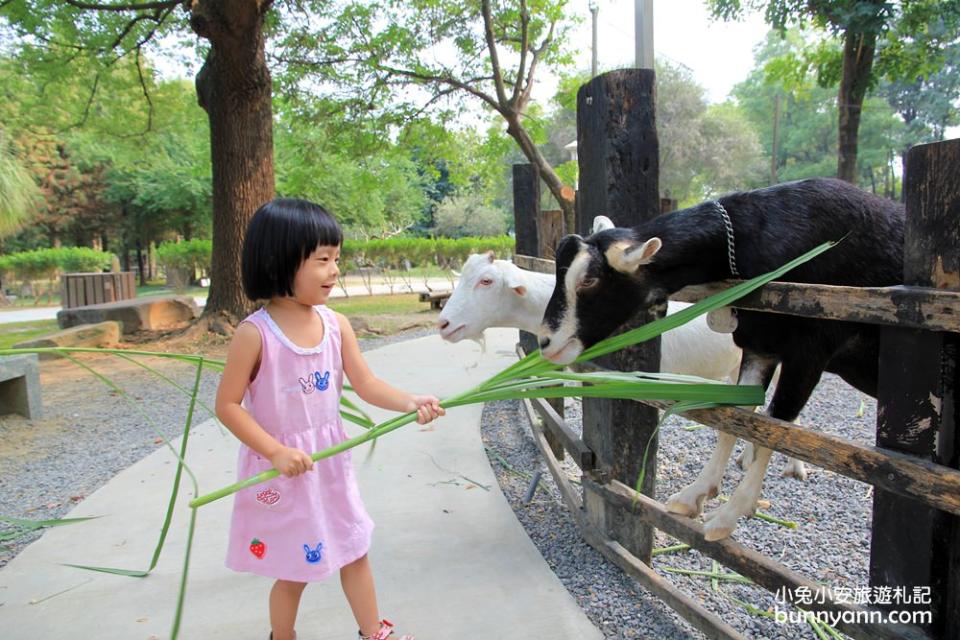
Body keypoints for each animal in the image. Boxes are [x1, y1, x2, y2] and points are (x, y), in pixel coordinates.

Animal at [544, 179, 904, 540]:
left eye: (589, 280)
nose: (547, 342)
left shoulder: (811, 350)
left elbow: (775, 427)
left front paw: (728, 515)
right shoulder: (761, 345)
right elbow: (736, 419)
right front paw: (694, 495)